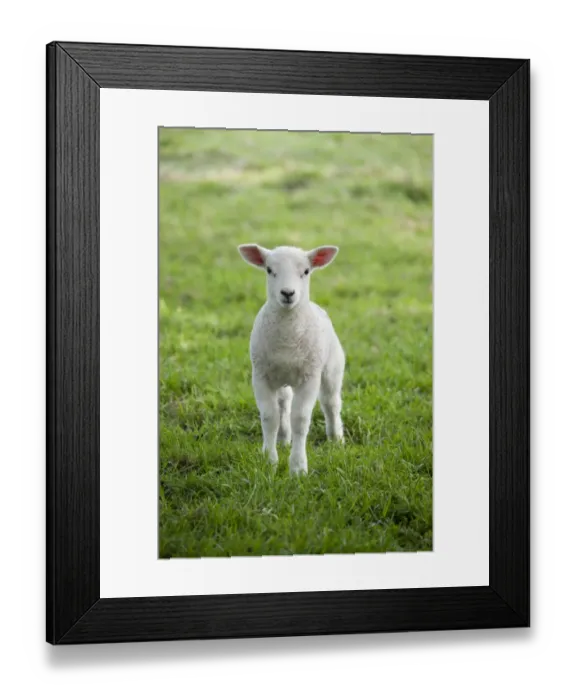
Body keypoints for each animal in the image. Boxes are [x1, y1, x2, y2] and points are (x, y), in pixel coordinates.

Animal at [238, 243, 345, 475]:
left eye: (306, 271)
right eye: (269, 270)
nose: (288, 293)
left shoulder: (309, 377)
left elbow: (301, 419)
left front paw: (297, 468)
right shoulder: (260, 376)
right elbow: (270, 417)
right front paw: (269, 461)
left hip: (332, 367)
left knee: (331, 402)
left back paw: (336, 438)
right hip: (281, 376)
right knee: (284, 404)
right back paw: (283, 439)